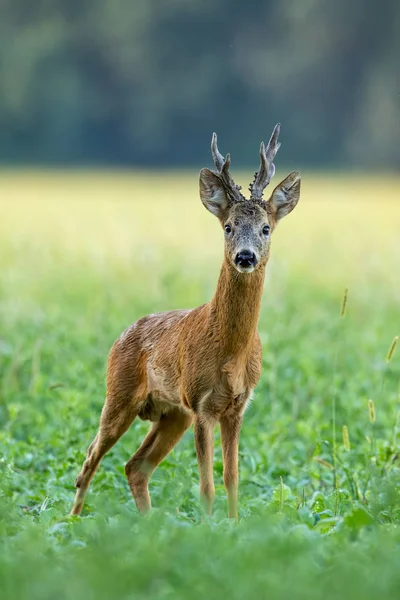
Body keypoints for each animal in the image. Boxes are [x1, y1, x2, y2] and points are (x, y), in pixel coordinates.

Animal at [71, 124, 300, 516]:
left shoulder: (237, 406)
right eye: (228, 226)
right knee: (89, 459)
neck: (230, 352)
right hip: (119, 394)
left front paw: (235, 524)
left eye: (266, 228)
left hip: (171, 414)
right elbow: (206, 486)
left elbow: (232, 479)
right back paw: (69, 521)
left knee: (134, 466)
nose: (245, 256)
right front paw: (207, 527)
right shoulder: (200, 402)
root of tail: (120, 337)